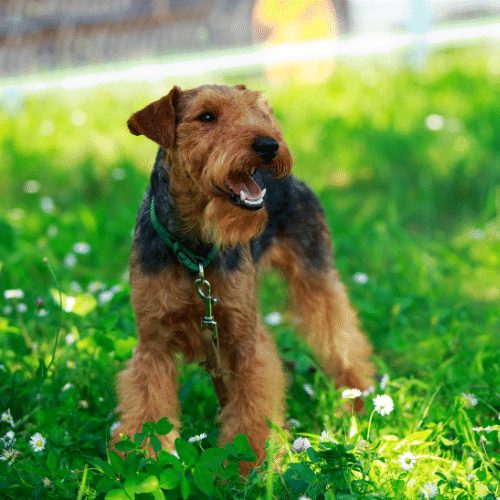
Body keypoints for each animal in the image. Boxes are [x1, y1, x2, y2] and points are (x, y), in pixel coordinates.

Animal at [115, 84, 374, 470]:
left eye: (254, 110)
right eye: (206, 116)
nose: (269, 145)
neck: (195, 247)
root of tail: (292, 179)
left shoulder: (244, 339)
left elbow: (253, 413)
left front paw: (254, 467)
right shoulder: (153, 343)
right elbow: (148, 409)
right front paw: (142, 462)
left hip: (315, 275)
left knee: (342, 339)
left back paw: (356, 403)